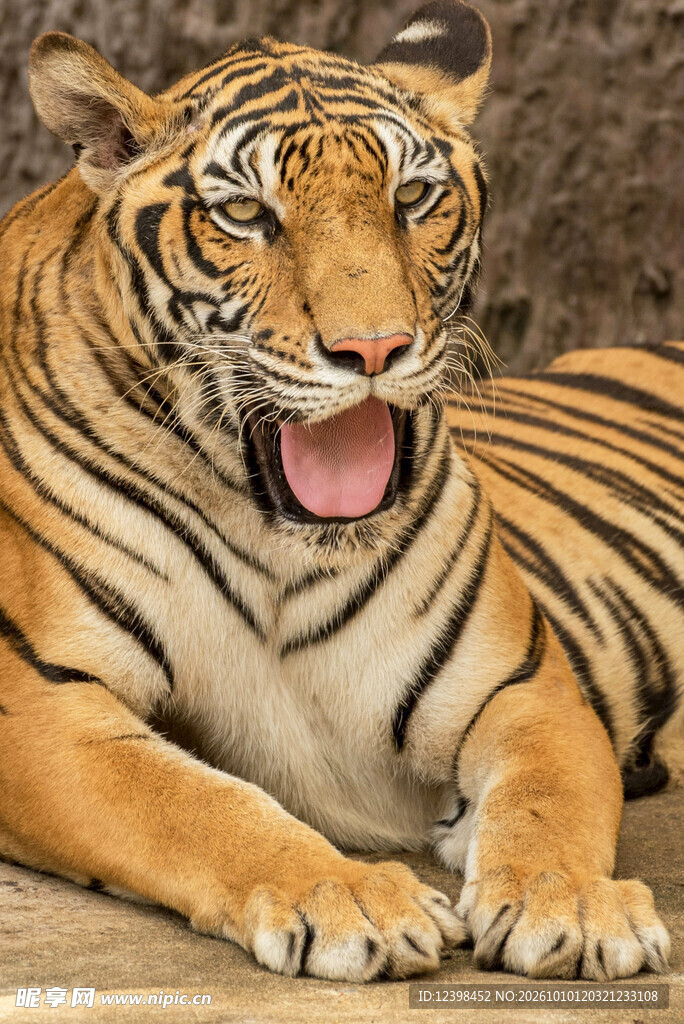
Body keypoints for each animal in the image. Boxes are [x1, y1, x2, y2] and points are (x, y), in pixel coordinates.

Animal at [0, 0, 680, 985]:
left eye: (412, 199)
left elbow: (547, 798)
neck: (277, 544)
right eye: (246, 213)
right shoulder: (40, 705)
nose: (374, 348)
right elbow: (198, 806)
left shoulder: (521, 685)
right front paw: (352, 898)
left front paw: (574, 904)